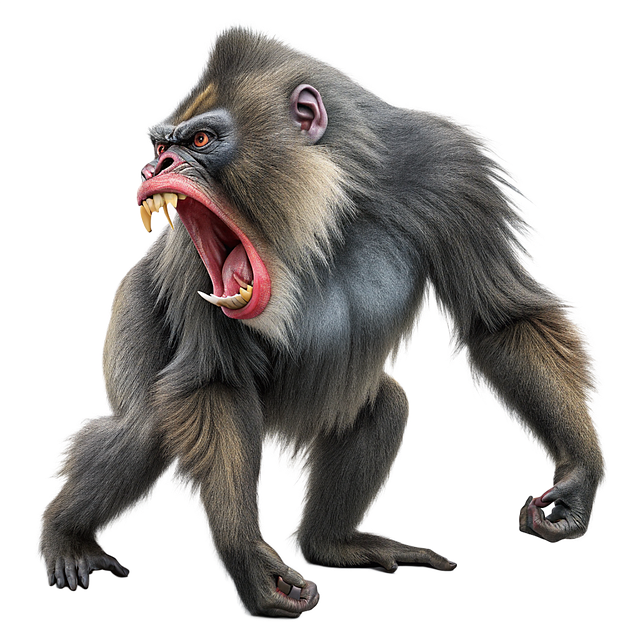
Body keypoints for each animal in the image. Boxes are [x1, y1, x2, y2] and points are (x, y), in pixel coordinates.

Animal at [35, 21, 607, 619]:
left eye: (199, 142)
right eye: (161, 145)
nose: (154, 168)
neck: (333, 196)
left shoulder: (452, 171)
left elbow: (504, 319)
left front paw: (580, 469)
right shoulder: (195, 257)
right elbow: (212, 382)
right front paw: (246, 557)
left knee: (380, 405)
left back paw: (331, 543)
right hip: (133, 301)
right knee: (142, 430)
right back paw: (66, 536)